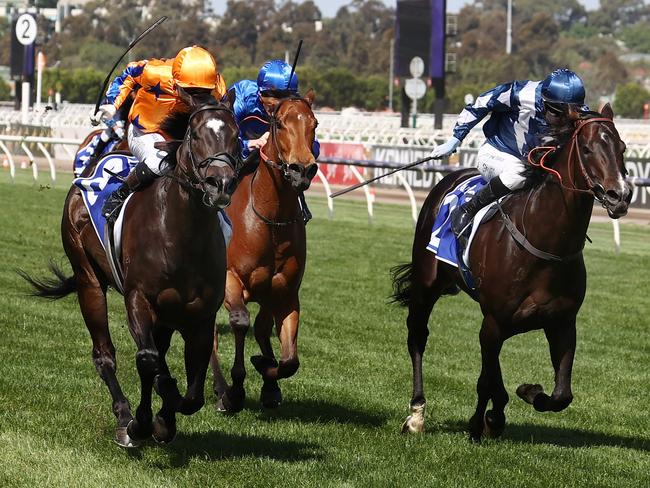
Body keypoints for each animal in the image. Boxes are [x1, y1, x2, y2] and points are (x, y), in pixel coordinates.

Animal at [22, 89, 242, 448]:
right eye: (196, 135)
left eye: (236, 136)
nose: (219, 184)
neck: (182, 235)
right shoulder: (139, 299)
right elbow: (149, 361)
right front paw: (143, 423)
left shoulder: (199, 313)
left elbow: (192, 391)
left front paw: (165, 419)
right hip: (88, 280)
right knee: (105, 354)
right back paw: (124, 416)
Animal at [210, 88, 316, 412]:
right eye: (280, 124)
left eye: (314, 124)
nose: (302, 169)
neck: (270, 218)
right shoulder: (230, 280)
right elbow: (240, 322)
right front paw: (235, 389)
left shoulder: (284, 292)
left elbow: (289, 359)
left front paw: (267, 373)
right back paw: (220, 388)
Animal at [390, 104, 628, 442]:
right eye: (587, 148)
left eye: (621, 148)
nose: (620, 195)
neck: (545, 243)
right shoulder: (495, 321)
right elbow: (485, 382)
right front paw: (480, 423)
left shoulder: (561, 323)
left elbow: (561, 395)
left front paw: (527, 393)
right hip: (427, 285)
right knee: (417, 338)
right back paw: (416, 414)